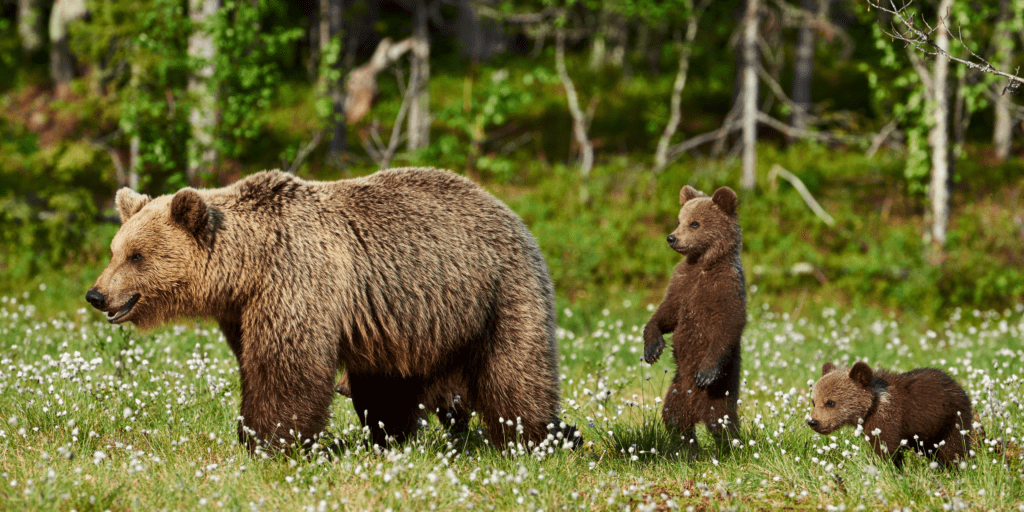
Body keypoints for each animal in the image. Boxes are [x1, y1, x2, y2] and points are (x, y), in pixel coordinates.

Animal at [85, 168, 577, 453]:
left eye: (137, 256)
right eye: (114, 250)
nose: (97, 295)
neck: (247, 268)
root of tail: (509, 211)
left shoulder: (296, 280)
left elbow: (286, 366)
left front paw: (269, 441)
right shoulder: (243, 310)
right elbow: (254, 361)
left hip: (498, 292)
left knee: (515, 373)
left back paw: (543, 438)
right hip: (405, 321)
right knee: (388, 386)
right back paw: (391, 437)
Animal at [642, 185, 746, 446]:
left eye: (695, 223)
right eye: (679, 220)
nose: (671, 238)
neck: (703, 263)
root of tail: (697, 411)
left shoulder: (725, 288)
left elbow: (729, 324)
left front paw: (706, 373)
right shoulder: (681, 284)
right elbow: (666, 314)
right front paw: (652, 348)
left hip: (720, 393)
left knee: (723, 424)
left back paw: (730, 447)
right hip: (676, 390)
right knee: (674, 419)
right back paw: (688, 448)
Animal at [807, 361, 973, 469]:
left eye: (830, 402)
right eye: (814, 401)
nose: (813, 422)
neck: (872, 405)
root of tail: (958, 385)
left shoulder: (888, 420)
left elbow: (885, 448)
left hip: (951, 420)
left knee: (954, 448)